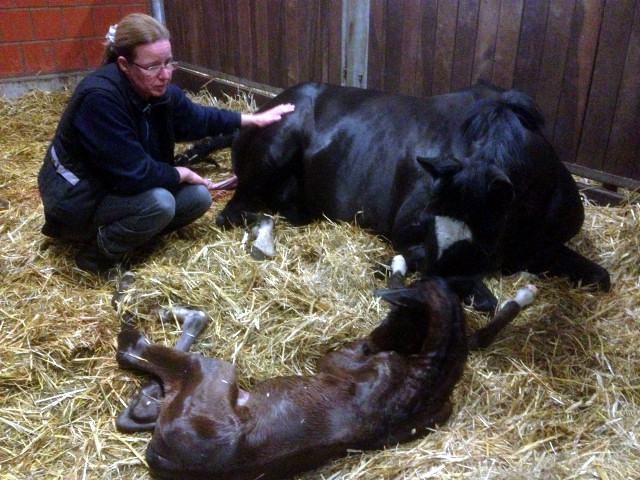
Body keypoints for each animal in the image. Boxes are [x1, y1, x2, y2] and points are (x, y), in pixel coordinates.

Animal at [116, 278, 536, 480]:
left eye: (394, 315)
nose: (372, 340)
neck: (421, 380)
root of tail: (163, 458)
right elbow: (479, 336)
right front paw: (524, 295)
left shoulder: (338, 359)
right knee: (135, 400)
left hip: (213, 372)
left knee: (133, 348)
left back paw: (150, 308)